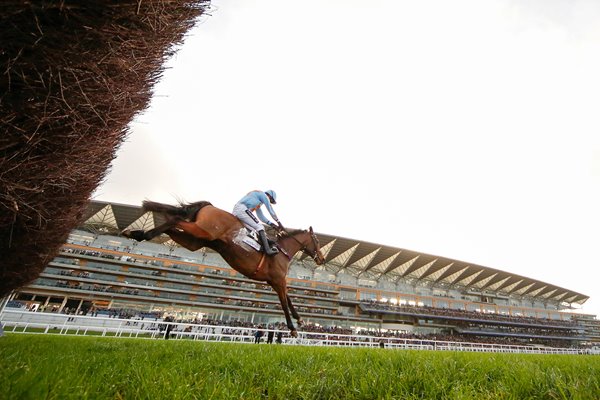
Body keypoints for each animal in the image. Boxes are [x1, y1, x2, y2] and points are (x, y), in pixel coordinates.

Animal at [122, 199, 326, 334]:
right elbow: (284, 302)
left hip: (195, 241)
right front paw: (292, 328)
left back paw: (138, 233)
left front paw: (299, 320)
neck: (282, 250)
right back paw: (140, 232)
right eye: (317, 241)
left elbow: (289, 300)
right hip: (202, 231)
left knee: (172, 227)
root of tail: (209, 206)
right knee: (176, 221)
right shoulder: (278, 280)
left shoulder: (274, 281)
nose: (322, 259)